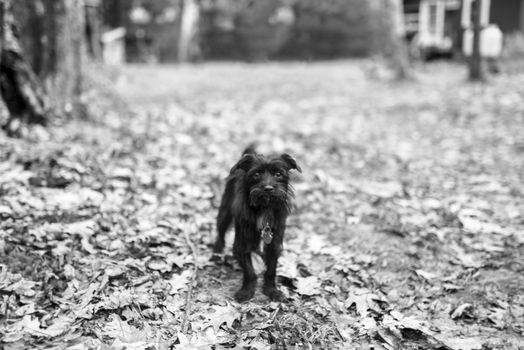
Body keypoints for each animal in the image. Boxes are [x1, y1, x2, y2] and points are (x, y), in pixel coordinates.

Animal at [214, 146, 302, 302]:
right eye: (256, 174)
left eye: (278, 174)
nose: (268, 188)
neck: (264, 207)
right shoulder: (241, 244)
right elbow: (249, 271)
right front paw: (247, 291)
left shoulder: (274, 244)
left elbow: (271, 269)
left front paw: (271, 290)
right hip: (224, 211)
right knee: (221, 232)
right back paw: (216, 252)